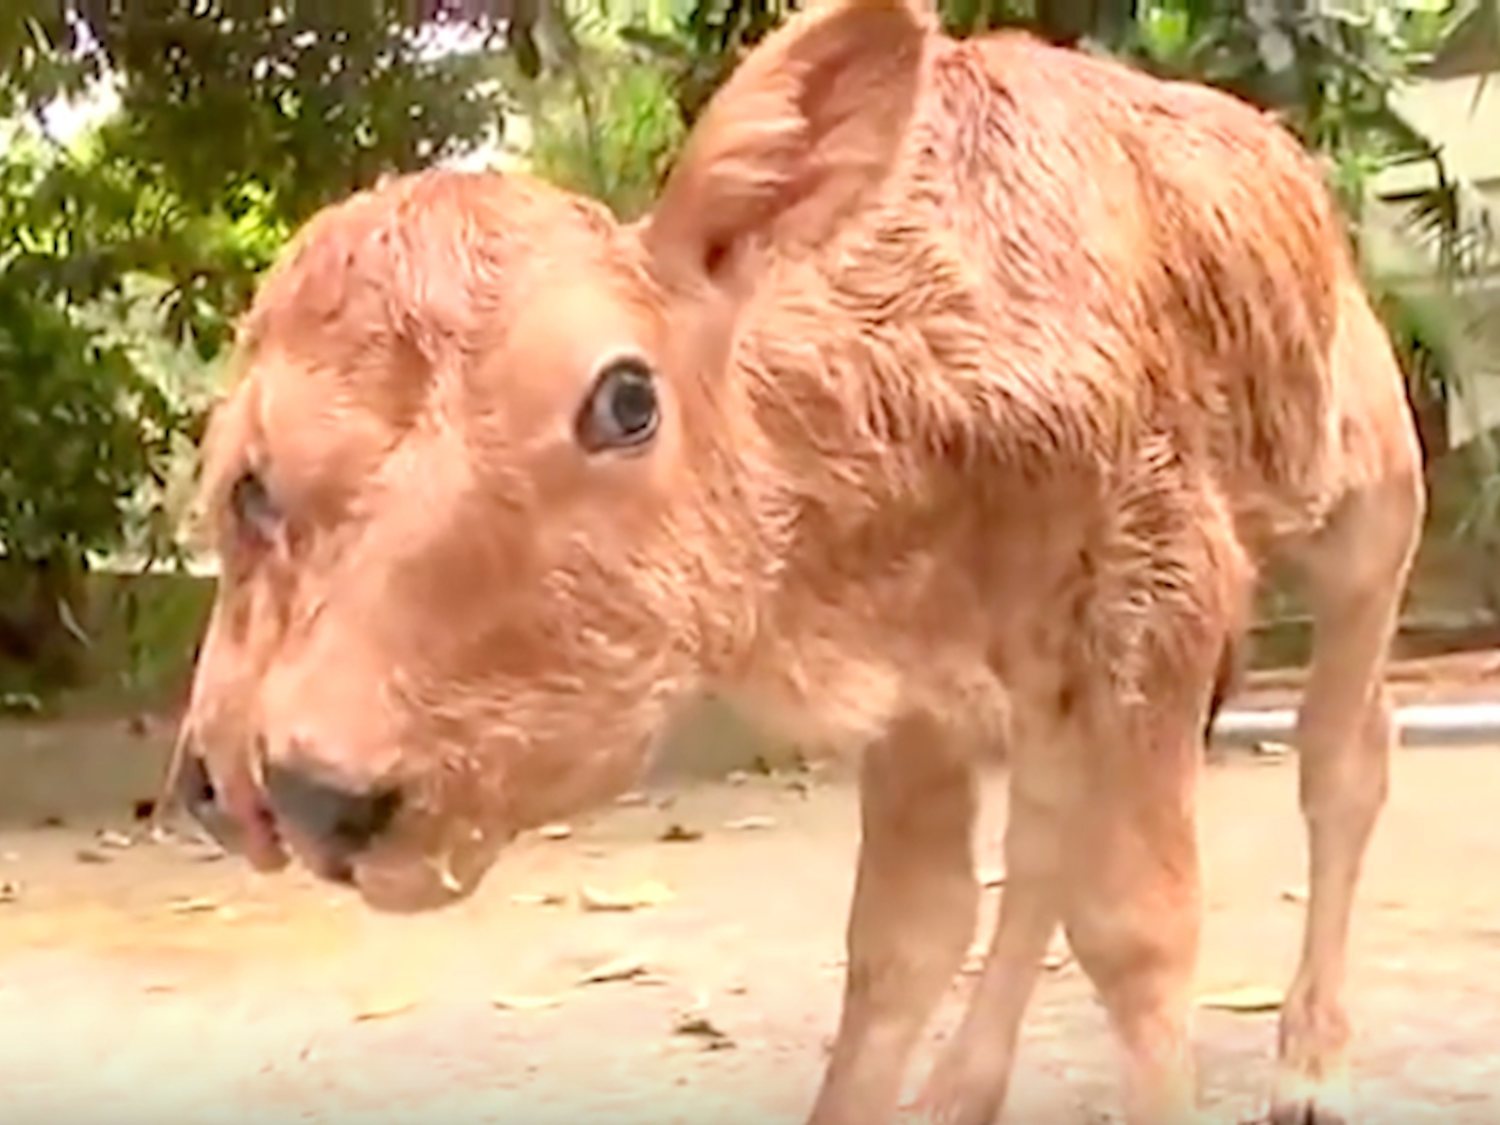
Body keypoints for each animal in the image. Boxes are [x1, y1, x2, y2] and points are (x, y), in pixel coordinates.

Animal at [172, 4, 1416, 1122]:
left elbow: (1139, 934)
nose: (320, 791)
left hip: (1370, 504)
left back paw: (1311, 1066)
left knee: (1345, 759)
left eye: (626, 397)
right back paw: (962, 1088)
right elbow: (905, 941)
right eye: (254, 484)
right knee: (1044, 841)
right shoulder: (925, 692)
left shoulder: (1158, 594)